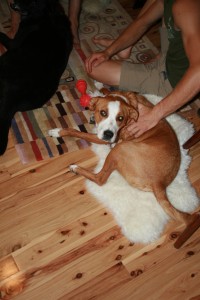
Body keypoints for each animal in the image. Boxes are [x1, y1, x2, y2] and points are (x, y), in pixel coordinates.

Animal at [48, 88, 200, 246]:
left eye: (120, 118)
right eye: (103, 113)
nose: (109, 134)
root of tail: (160, 183)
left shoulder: (103, 138)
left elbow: (78, 132)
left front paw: (59, 132)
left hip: (120, 148)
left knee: (100, 178)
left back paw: (76, 168)